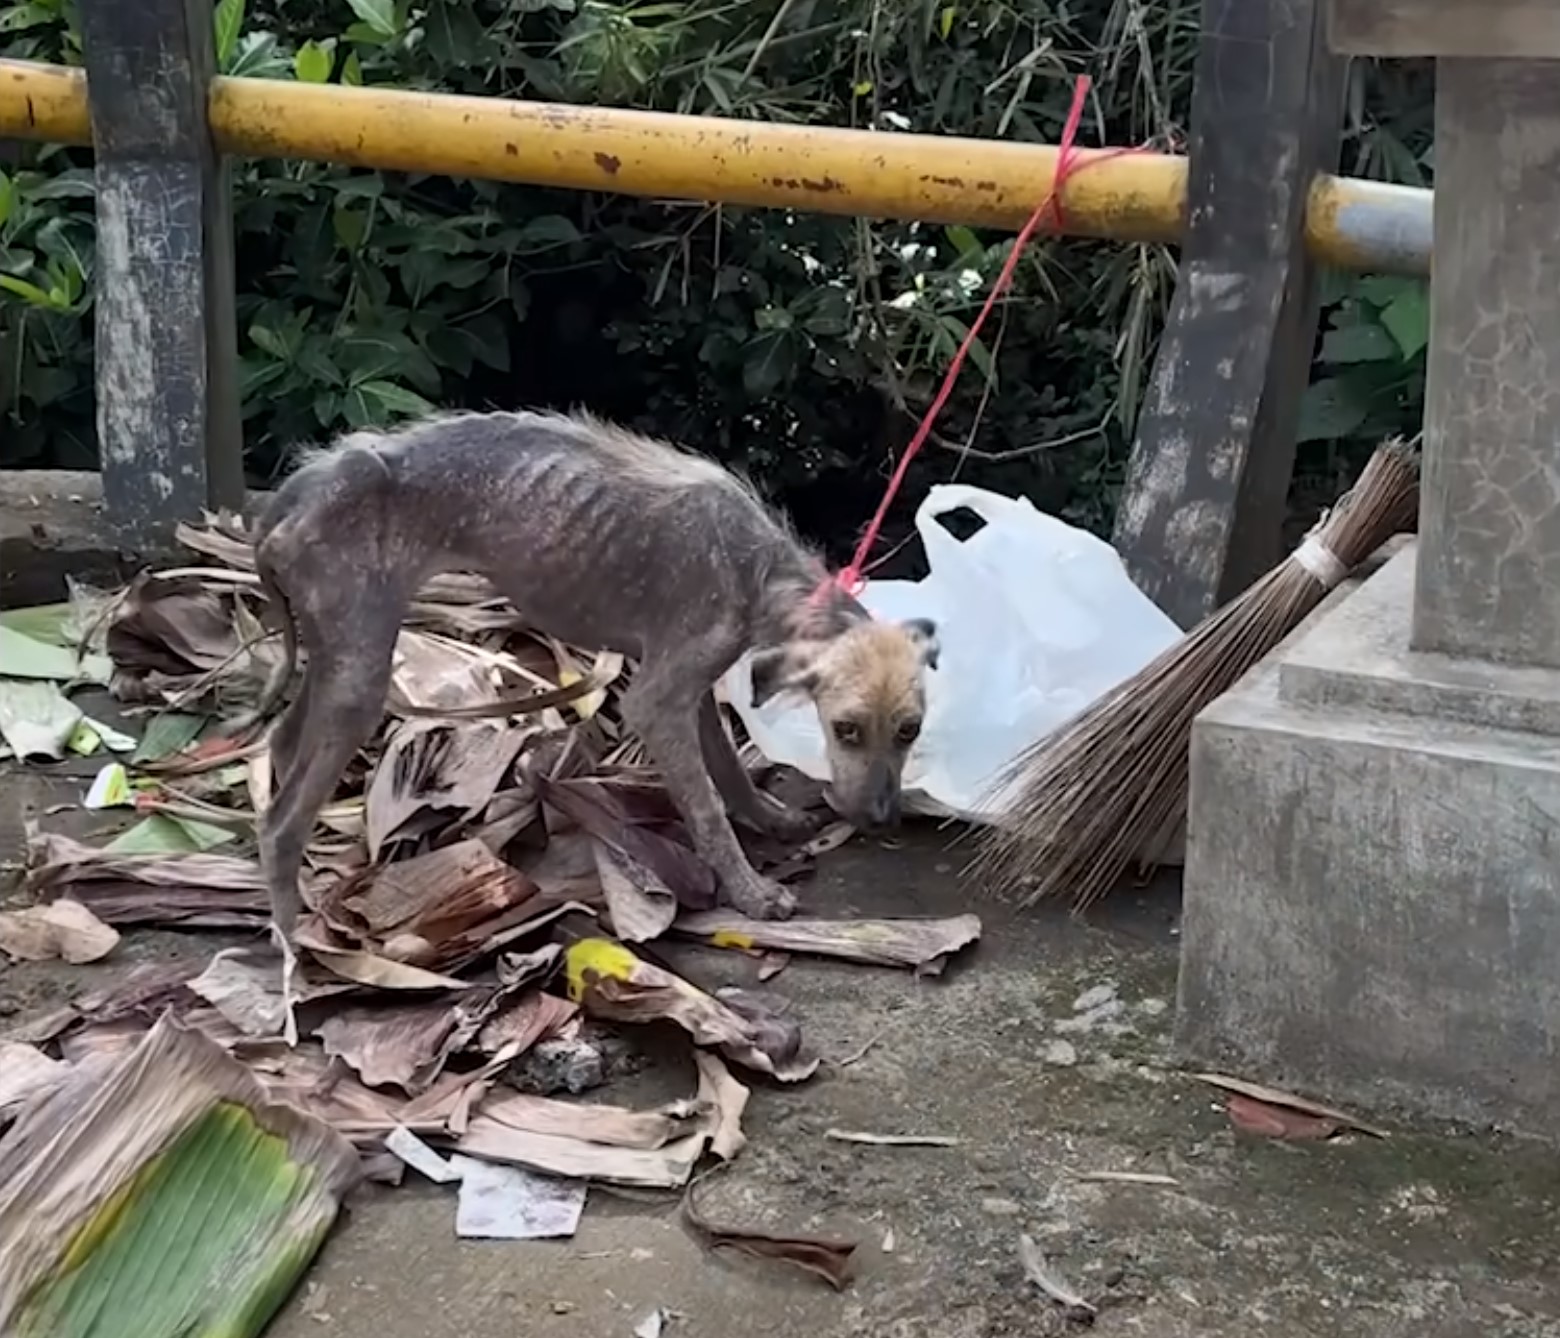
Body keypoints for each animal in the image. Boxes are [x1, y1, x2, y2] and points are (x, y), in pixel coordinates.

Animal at [254, 411, 935, 941]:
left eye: (910, 731)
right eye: (845, 730)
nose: (883, 819)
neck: (758, 566)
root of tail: (309, 480)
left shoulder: (690, 691)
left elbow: (729, 771)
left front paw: (770, 821)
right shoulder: (657, 702)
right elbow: (707, 808)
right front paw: (751, 892)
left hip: (340, 652)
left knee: (284, 745)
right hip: (358, 676)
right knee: (280, 825)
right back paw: (293, 955)